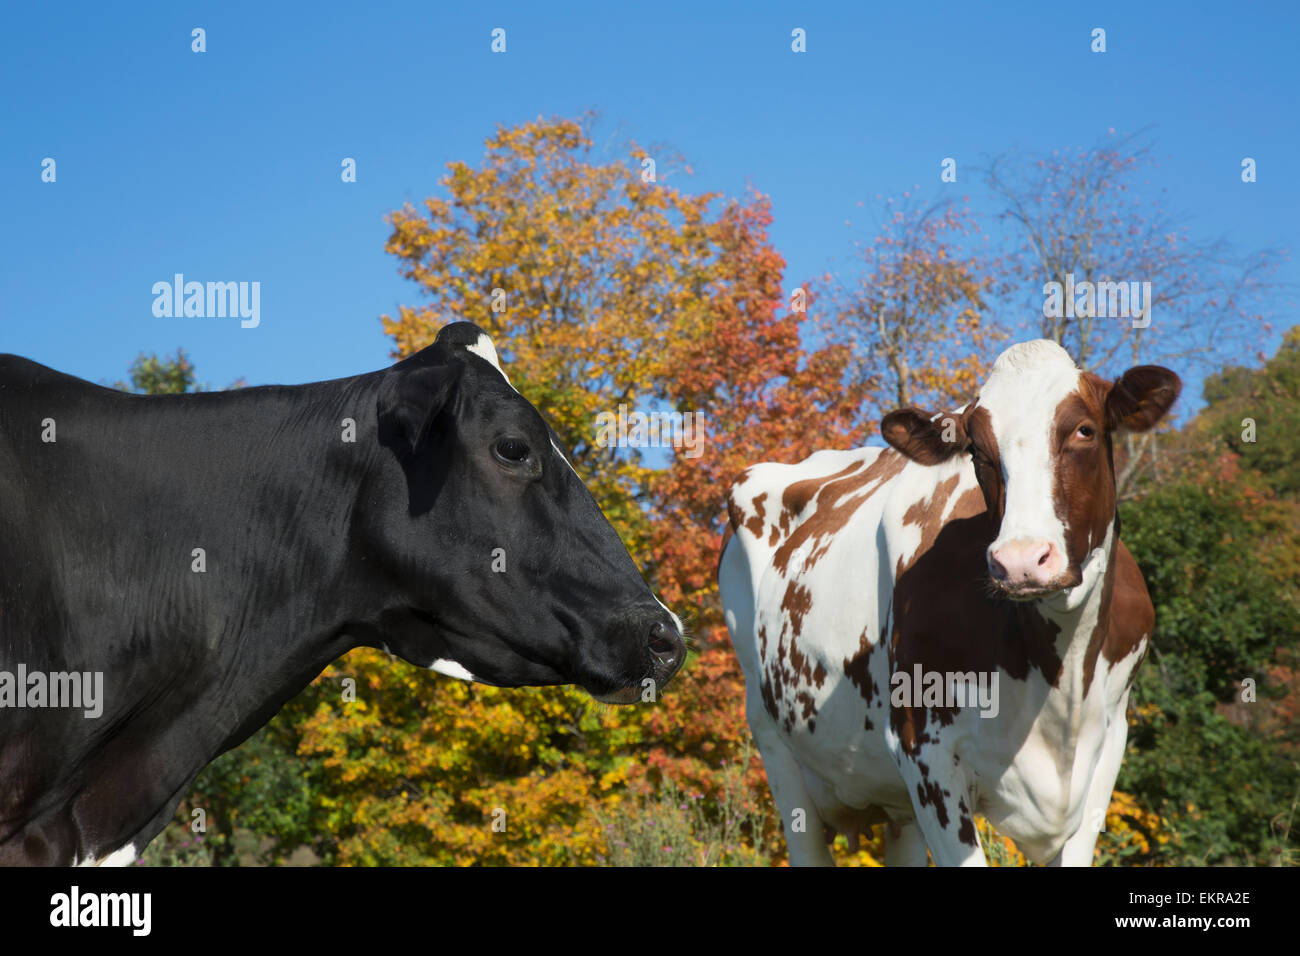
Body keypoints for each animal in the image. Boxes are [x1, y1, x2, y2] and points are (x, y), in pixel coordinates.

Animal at [717, 340, 1185, 863]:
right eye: (977, 450)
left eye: (1084, 429)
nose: (1021, 560)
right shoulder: (924, 751)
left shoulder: (1105, 751)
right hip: (777, 749)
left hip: (895, 806)